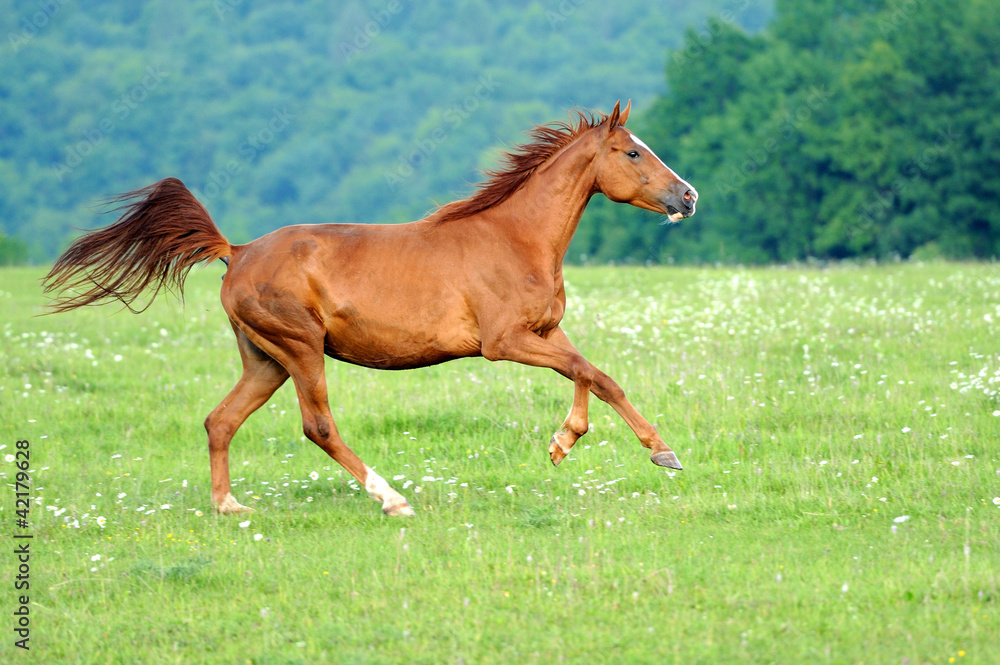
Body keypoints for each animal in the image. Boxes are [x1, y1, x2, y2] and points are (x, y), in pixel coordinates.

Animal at [43, 100, 697, 517]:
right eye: (632, 153)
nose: (688, 196)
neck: (515, 237)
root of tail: (237, 251)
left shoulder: (545, 331)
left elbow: (597, 376)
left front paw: (584, 444)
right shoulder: (504, 342)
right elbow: (589, 371)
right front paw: (650, 452)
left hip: (265, 360)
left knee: (220, 421)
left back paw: (229, 506)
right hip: (301, 350)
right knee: (318, 426)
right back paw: (392, 499)